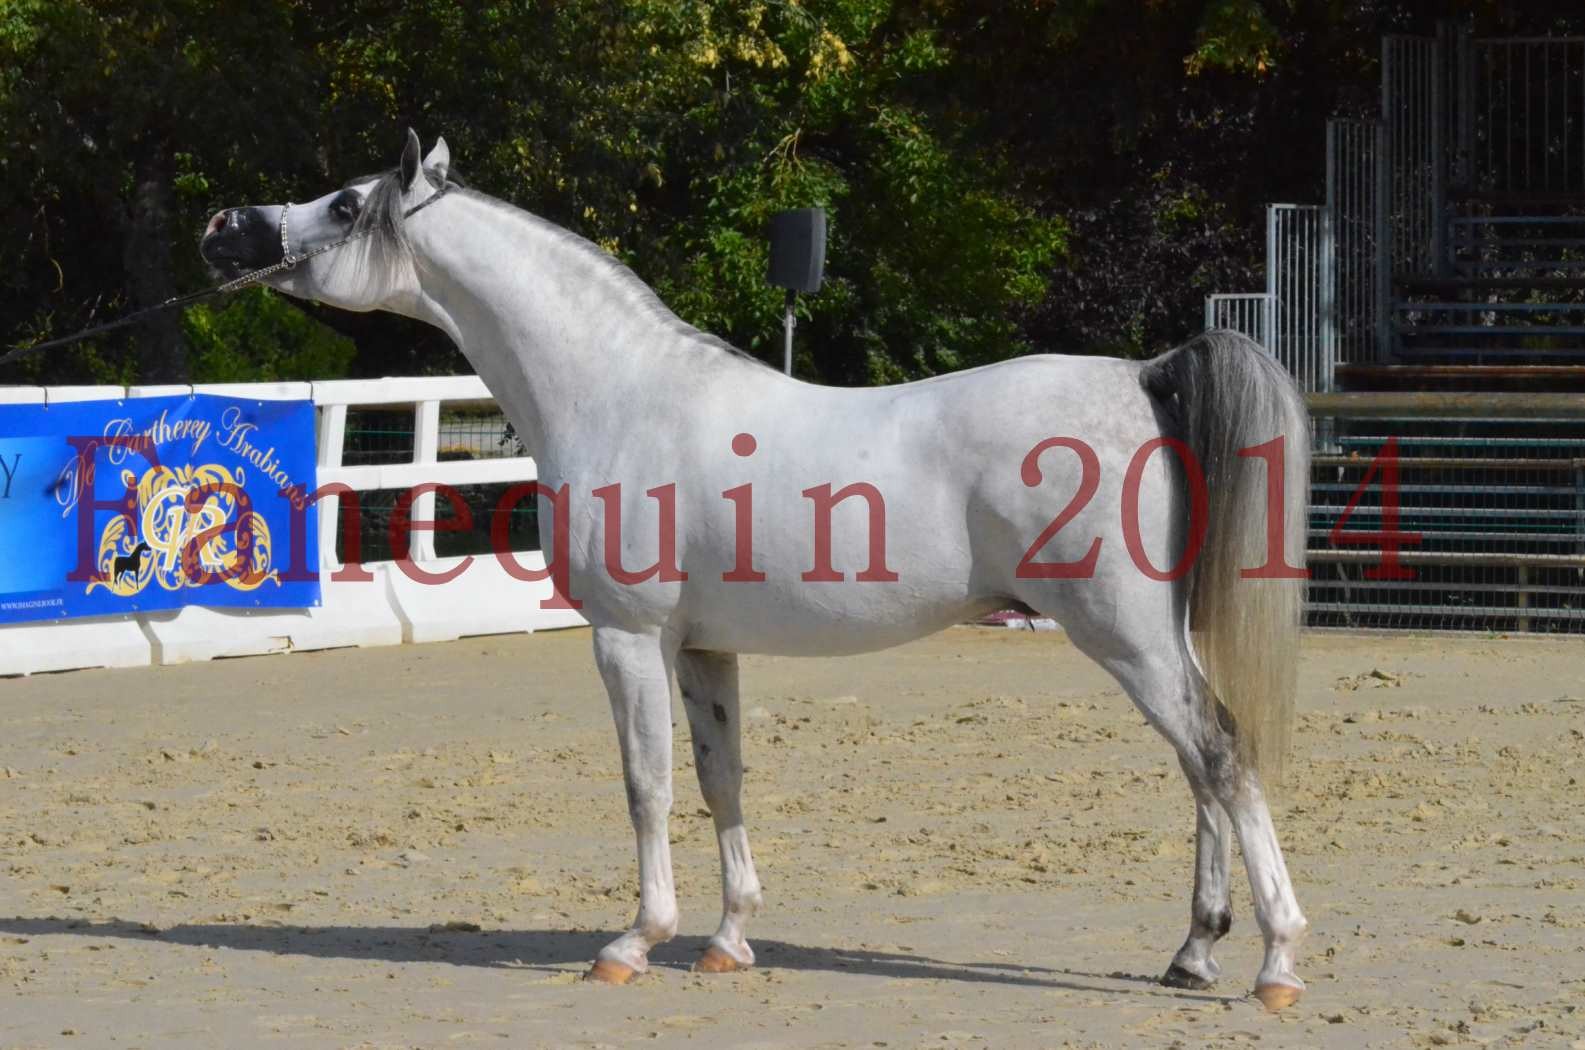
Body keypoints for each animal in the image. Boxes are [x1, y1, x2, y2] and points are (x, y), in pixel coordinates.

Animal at [198, 131, 1312, 1015]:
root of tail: (1142, 377)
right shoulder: (703, 650)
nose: (222, 227)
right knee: (1200, 767)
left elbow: (645, 783)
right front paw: (728, 940)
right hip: (1148, 639)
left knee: (1220, 753)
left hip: (1120, 634)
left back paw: (1275, 963)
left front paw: (632, 942)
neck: (622, 393)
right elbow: (718, 776)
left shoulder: (628, 639)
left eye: (345, 204)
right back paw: (1193, 952)